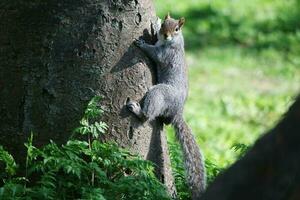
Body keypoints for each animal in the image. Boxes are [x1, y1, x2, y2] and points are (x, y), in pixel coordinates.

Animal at [126, 13, 206, 199]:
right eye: (164, 24)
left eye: (177, 29)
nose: (165, 34)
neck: (170, 41)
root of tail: (177, 112)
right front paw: (154, 23)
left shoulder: (166, 53)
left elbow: (155, 54)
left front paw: (142, 44)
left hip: (160, 93)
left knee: (148, 115)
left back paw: (138, 110)